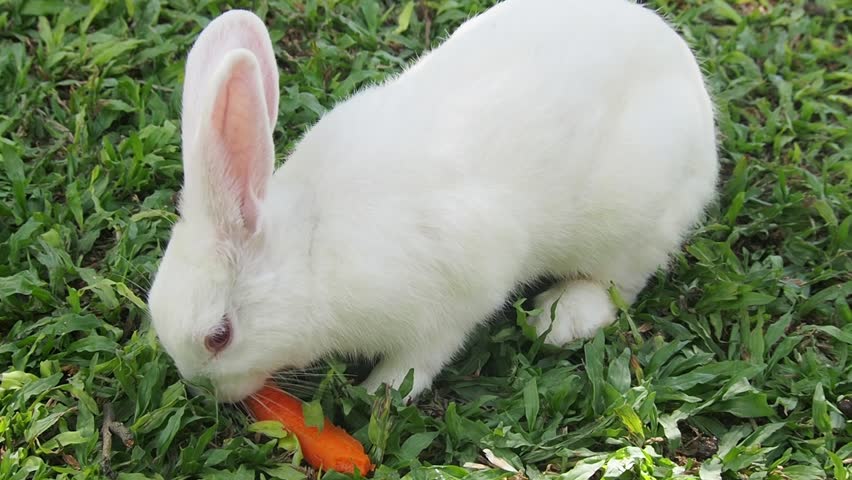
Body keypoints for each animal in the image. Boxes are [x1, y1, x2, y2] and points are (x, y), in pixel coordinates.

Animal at [147, 0, 718, 403]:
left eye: (219, 337)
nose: (206, 391)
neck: (311, 249)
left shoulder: (452, 297)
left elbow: (424, 355)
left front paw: (380, 392)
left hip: (632, 220)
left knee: (620, 280)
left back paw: (559, 319)